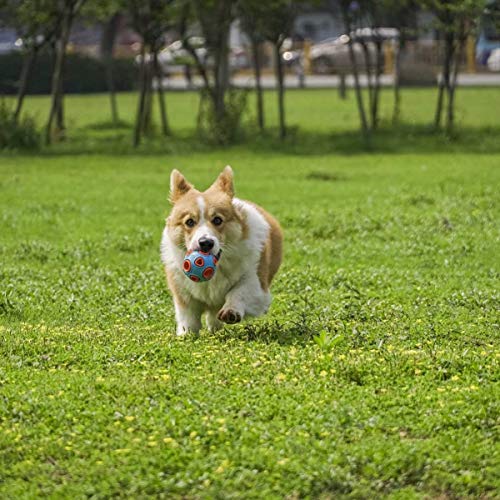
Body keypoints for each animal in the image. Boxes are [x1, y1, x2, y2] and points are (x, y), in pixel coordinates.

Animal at [162, 168, 284, 336]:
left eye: (217, 220)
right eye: (189, 222)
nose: (205, 243)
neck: (217, 268)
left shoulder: (257, 283)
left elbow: (239, 292)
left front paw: (230, 311)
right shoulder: (182, 292)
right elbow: (188, 318)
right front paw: (186, 335)